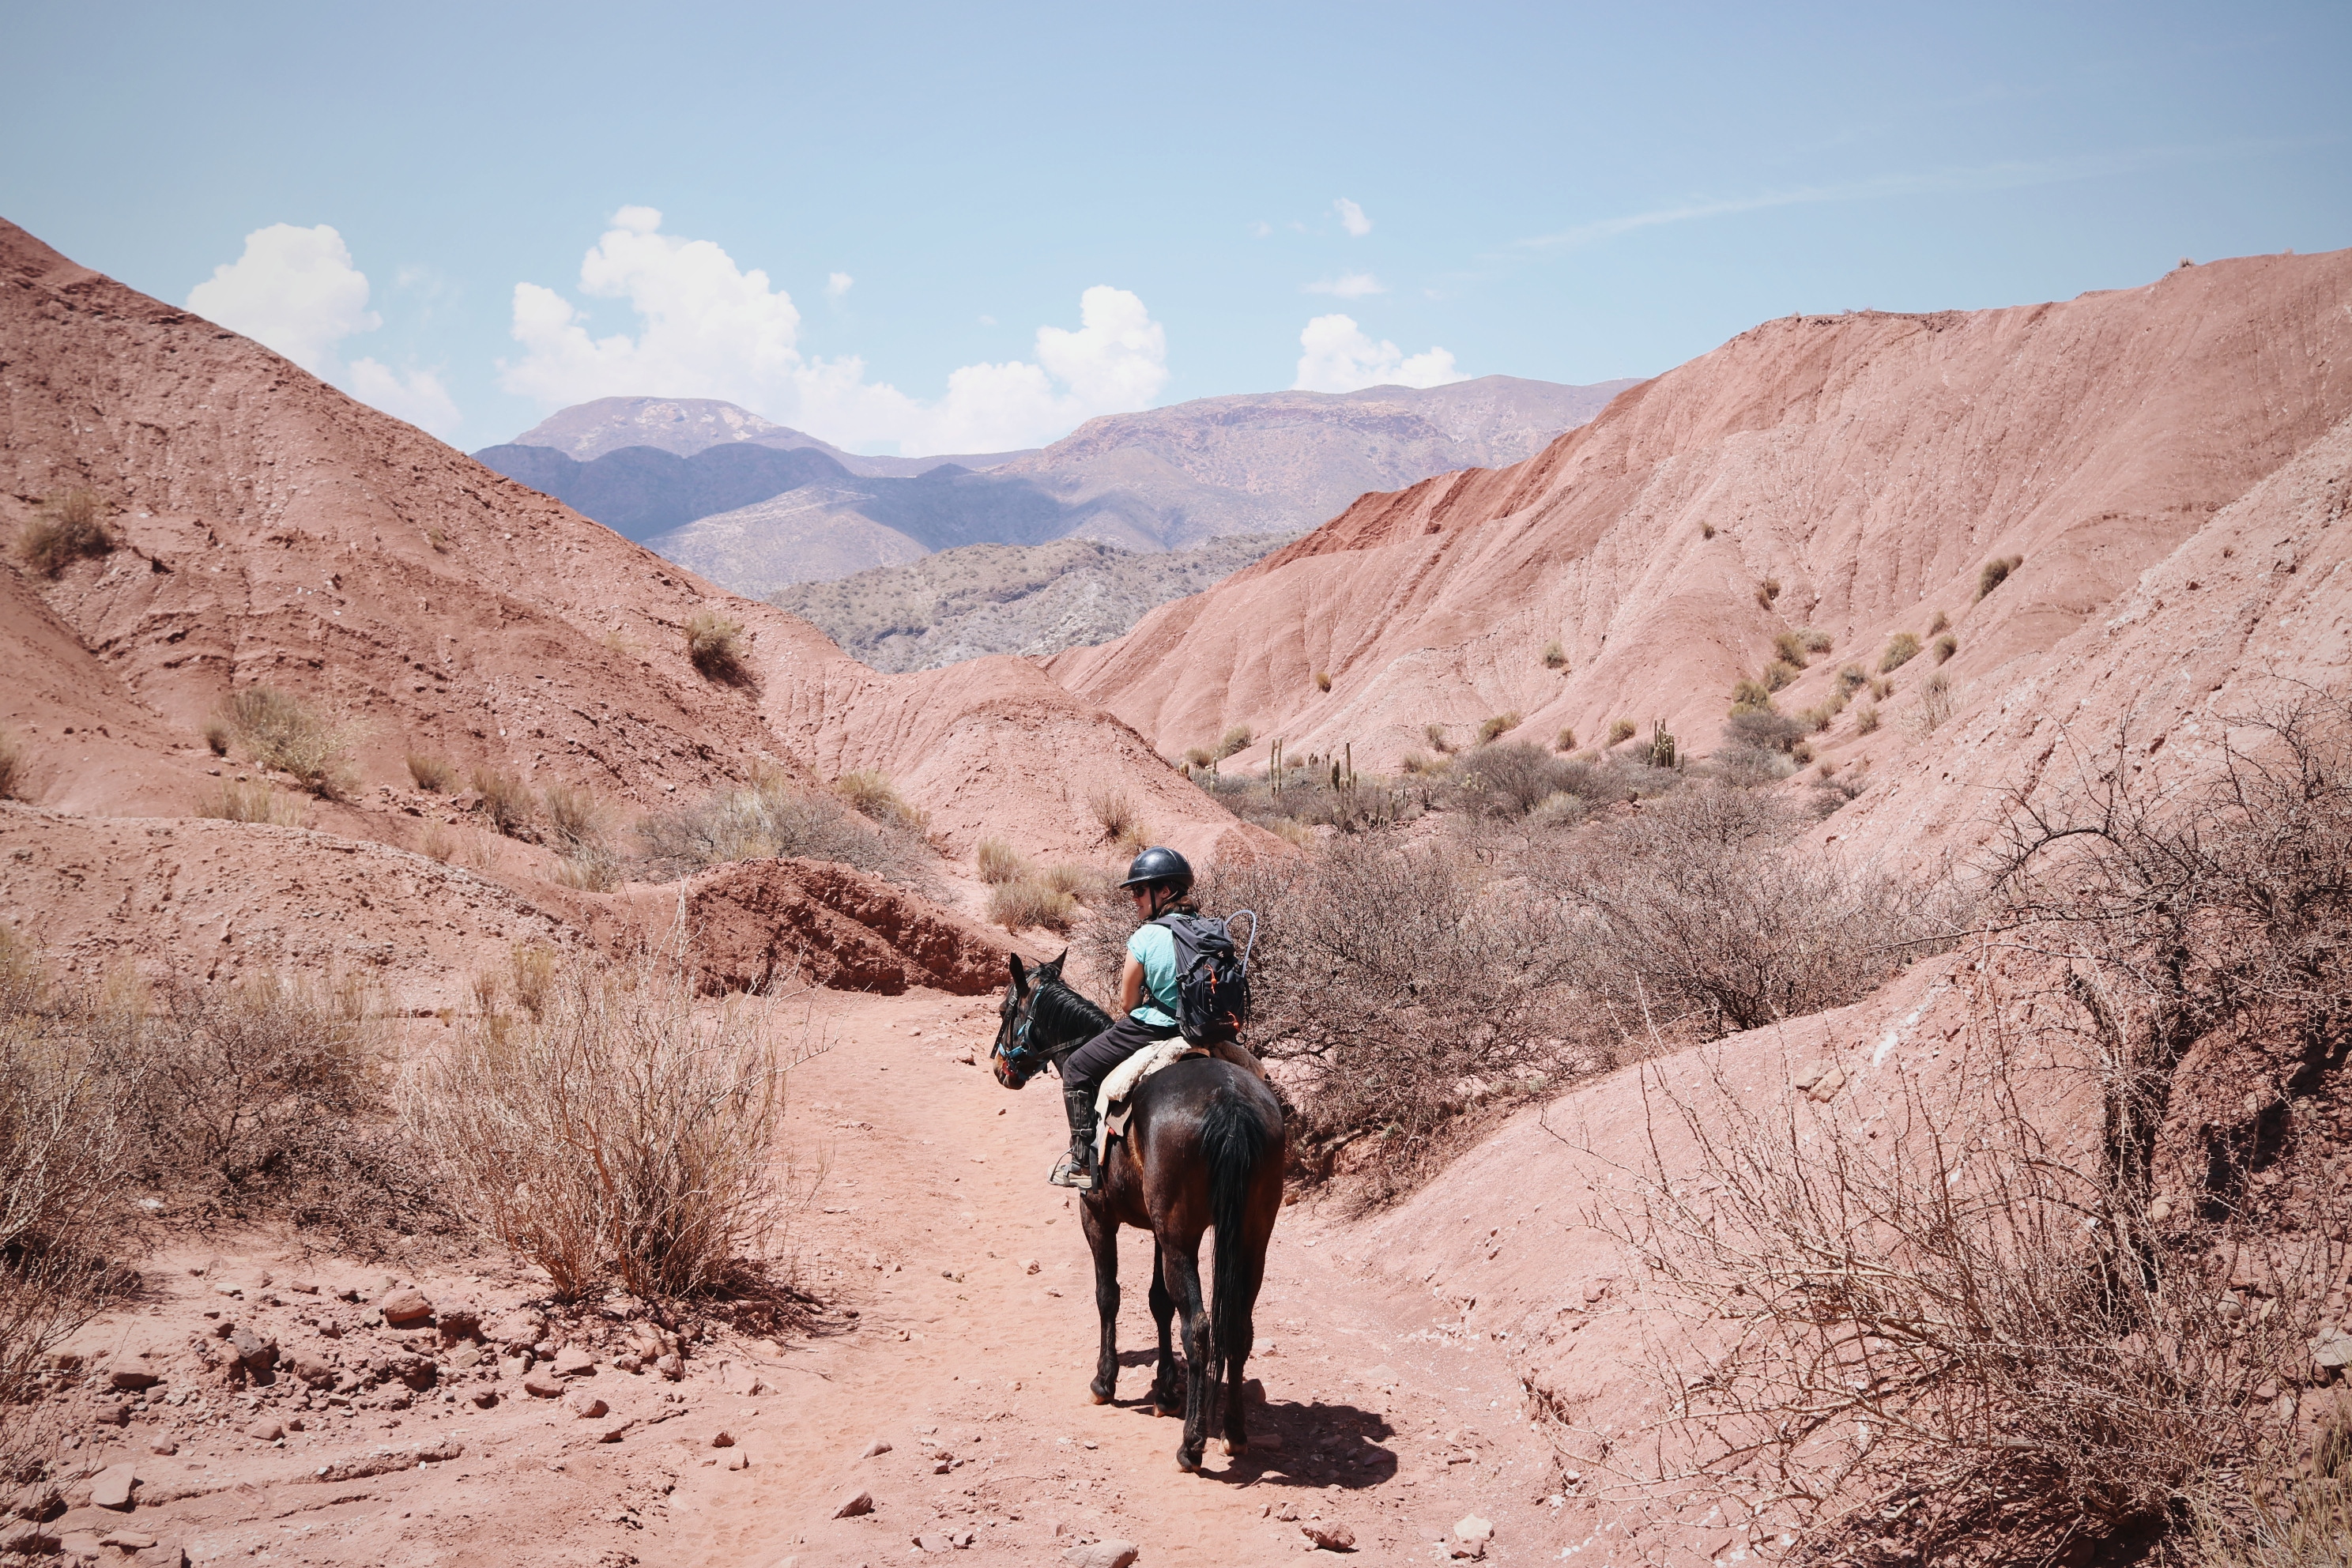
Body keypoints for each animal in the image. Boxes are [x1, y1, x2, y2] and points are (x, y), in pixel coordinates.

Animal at [992, 949, 1288, 1476]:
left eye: (1007, 1011)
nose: (999, 1069)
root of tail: (1231, 1103)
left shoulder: (1097, 1216)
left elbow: (1108, 1295)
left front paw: (1104, 1382)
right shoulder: (1158, 1230)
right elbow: (1158, 1301)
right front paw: (1166, 1390)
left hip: (1182, 1239)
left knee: (1201, 1328)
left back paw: (1192, 1444)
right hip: (1248, 1236)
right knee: (1237, 1325)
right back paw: (1233, 1433)